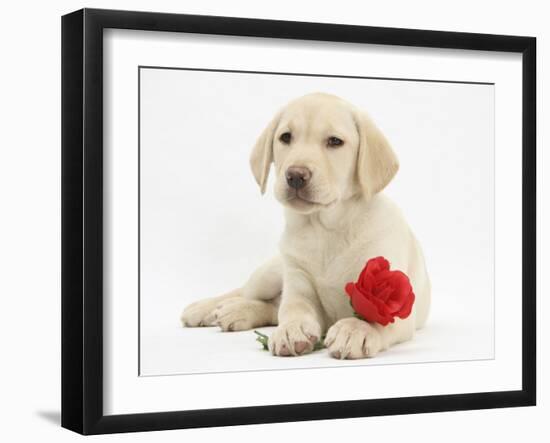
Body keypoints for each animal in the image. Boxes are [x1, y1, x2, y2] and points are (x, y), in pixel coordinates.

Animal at [181, 92, 432, 360]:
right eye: (285, 137)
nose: (295, 176)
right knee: (250, 293)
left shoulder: (397, 301)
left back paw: (235, 311)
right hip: (270, 273)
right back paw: (207, 308)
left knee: (271, 306)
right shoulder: (297, 282)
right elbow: (293, 309)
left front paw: (354, 330)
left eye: (335, 141)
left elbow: (375, 320)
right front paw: (292, 329)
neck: (324, 228)